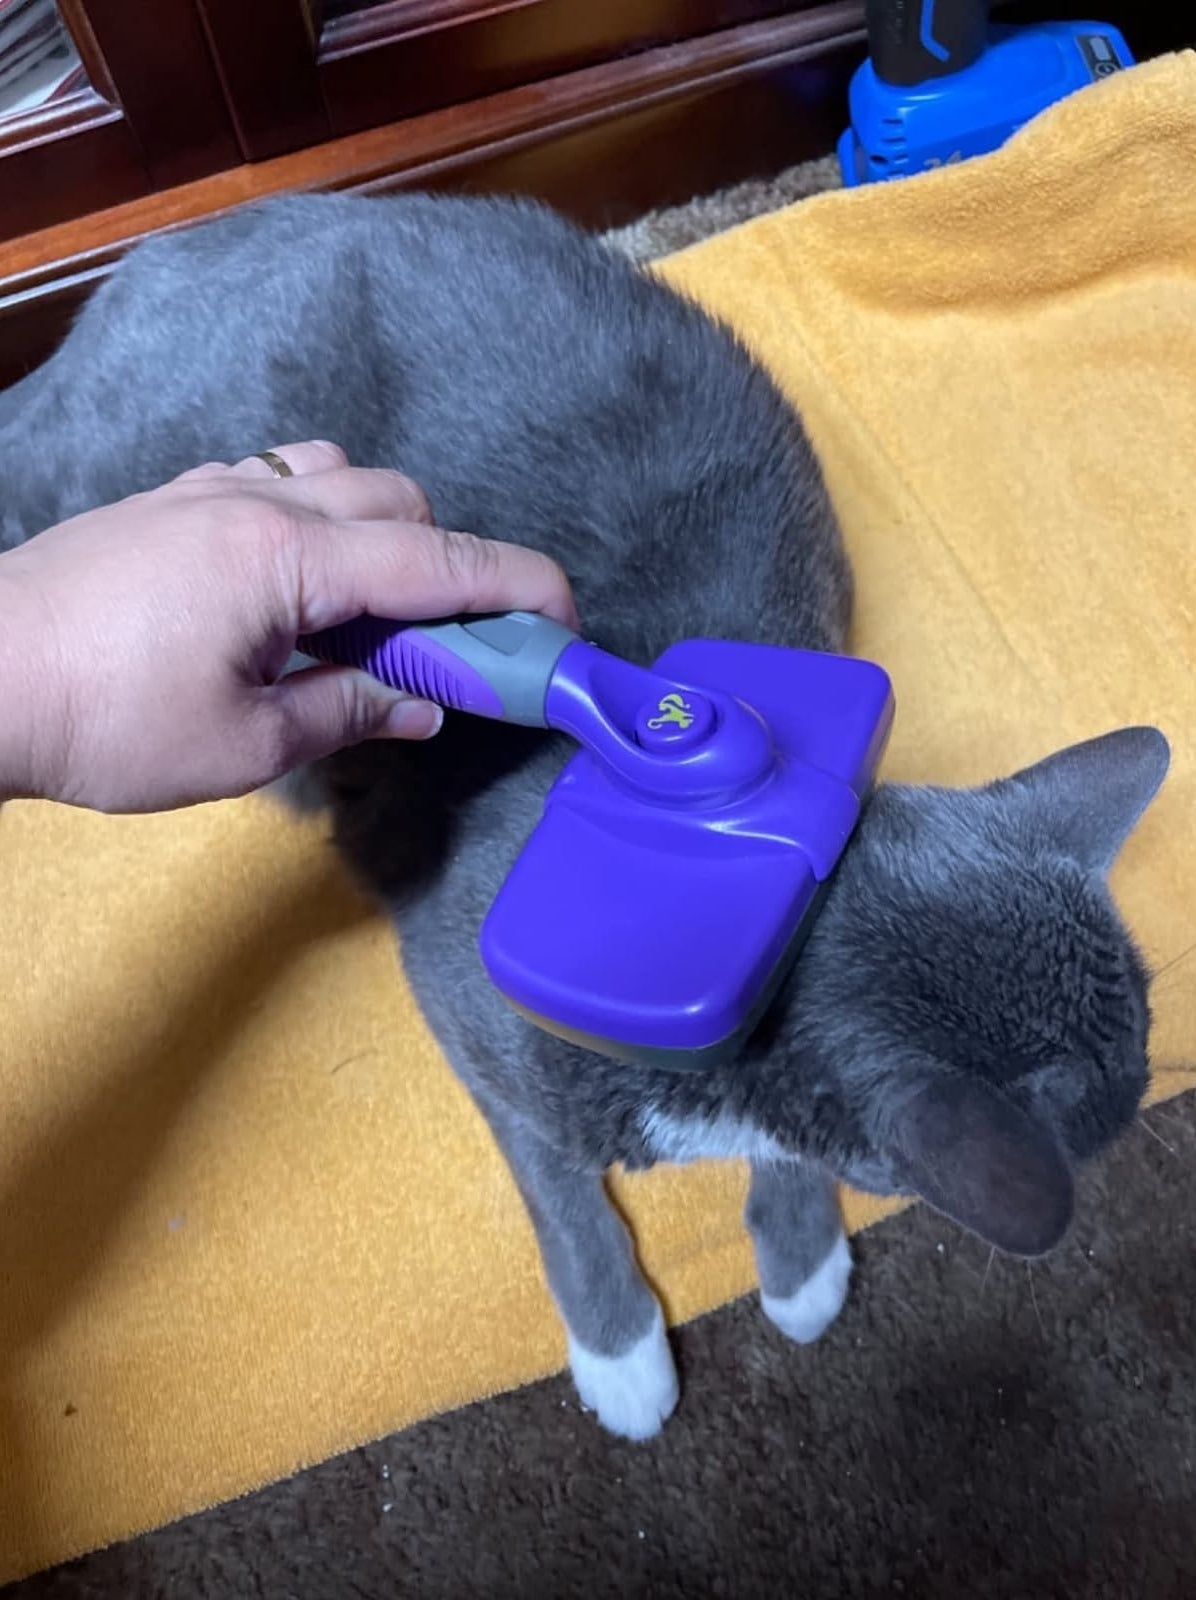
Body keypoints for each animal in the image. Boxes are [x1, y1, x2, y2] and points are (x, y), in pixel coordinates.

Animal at [0, 190, 1170, 1440]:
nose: (1152, 1077)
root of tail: (163, 254)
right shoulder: (474, 1012)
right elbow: (559, 1190)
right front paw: (622, 1355)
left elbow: (789, 1162)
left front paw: (801, 1264)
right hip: (136, 461)